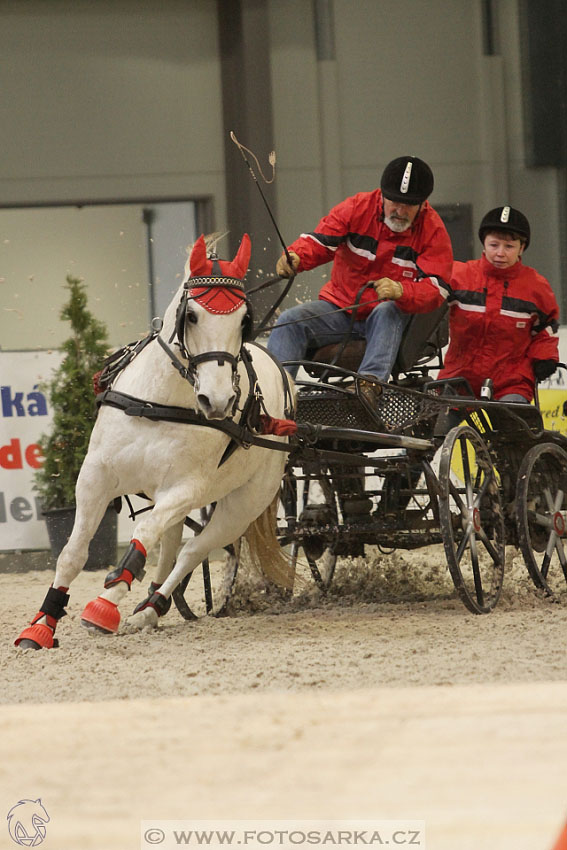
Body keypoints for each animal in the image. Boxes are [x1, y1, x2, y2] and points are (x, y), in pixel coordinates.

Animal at [15, 235, 296, 644]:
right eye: (191, 315)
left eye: (244, 320)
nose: (218, 401)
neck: (159, 403)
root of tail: (286, 378)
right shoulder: (95, 476)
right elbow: (73, 553)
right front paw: (41, 625)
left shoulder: (185, 489)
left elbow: (144, 535)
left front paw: (105, 603)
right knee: (172, 546)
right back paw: (147, 608)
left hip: (242, 505)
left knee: (192, 550)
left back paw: (150, 608)